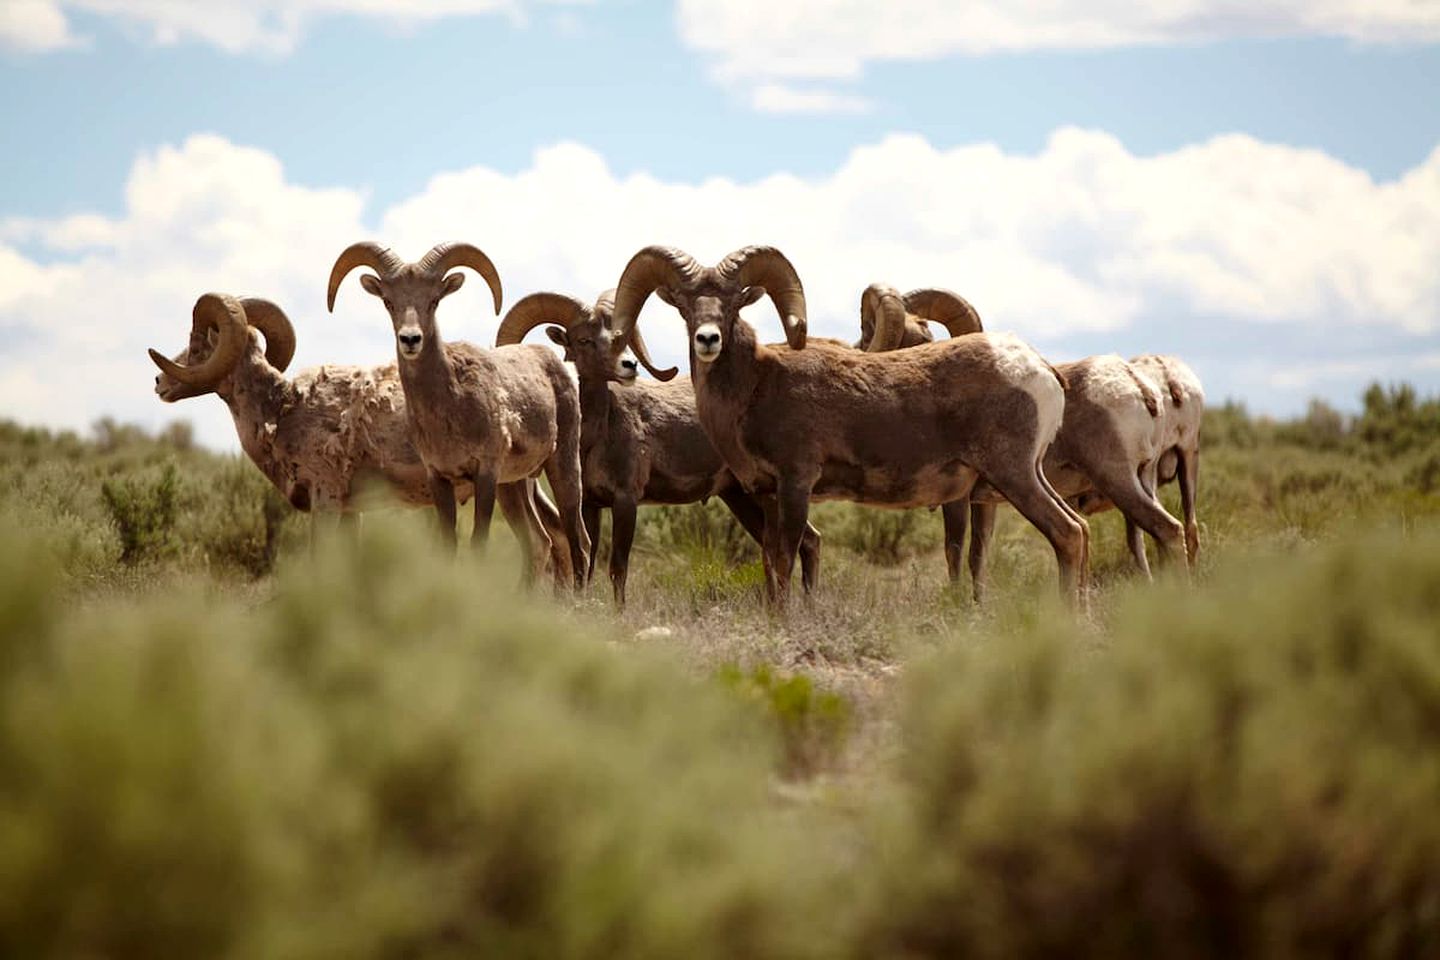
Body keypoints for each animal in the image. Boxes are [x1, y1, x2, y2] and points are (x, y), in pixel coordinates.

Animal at [147, 296, 573, 575]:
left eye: (200, 343)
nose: (159, 383)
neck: (282, 410)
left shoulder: (326, 501)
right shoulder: (352, 513)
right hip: (514, 489)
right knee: (545, 545)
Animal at [329, 241, 587, 587]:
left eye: (434, 300)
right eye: (388, 301)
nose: (410, 339)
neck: (450, 407)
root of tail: (552, 361)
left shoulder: (485, 473)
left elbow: (478, 543)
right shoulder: (439, 477)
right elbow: (448, 545)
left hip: (561, 466)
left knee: (577, 538)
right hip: (514, 486)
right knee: (538, 542)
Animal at [495, 289, 817, 604]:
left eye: (620, 337)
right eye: (584, 339)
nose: (629, 366)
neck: (598, 434)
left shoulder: (626, 500)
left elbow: (618, 569)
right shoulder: (592, 505)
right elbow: (590, 563)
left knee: (802, 543)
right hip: (740, 497)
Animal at [607, 247, 1088, 607]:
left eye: (733, 302)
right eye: (686, 306)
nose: (708, 339)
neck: (757, 384)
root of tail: (1037, 367)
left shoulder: (796, 483)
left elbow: (786, 558)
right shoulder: (765, 493)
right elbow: (770, 561)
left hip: (1013, 474)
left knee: (1065, 533)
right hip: (1021, 477)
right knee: (1079, 529)